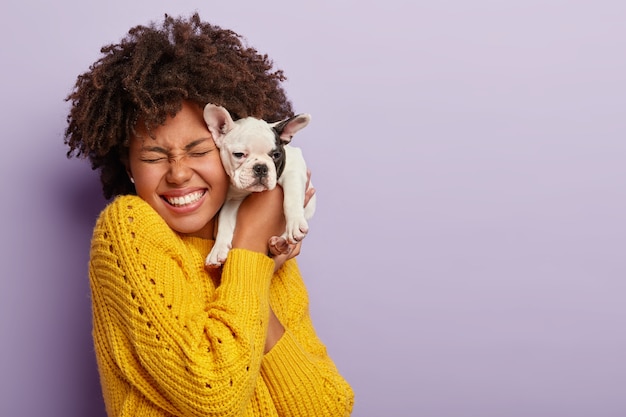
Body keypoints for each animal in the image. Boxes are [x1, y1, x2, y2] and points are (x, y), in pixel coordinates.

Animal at [202, 103, 314, 266]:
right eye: (238, 154)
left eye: (276, 155)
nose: (261, 167)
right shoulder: (232, 200)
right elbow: (225, 221)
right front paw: (218, 249)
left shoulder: (293, 170)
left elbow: (291, 199)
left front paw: (295, 223)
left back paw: (280, 242)